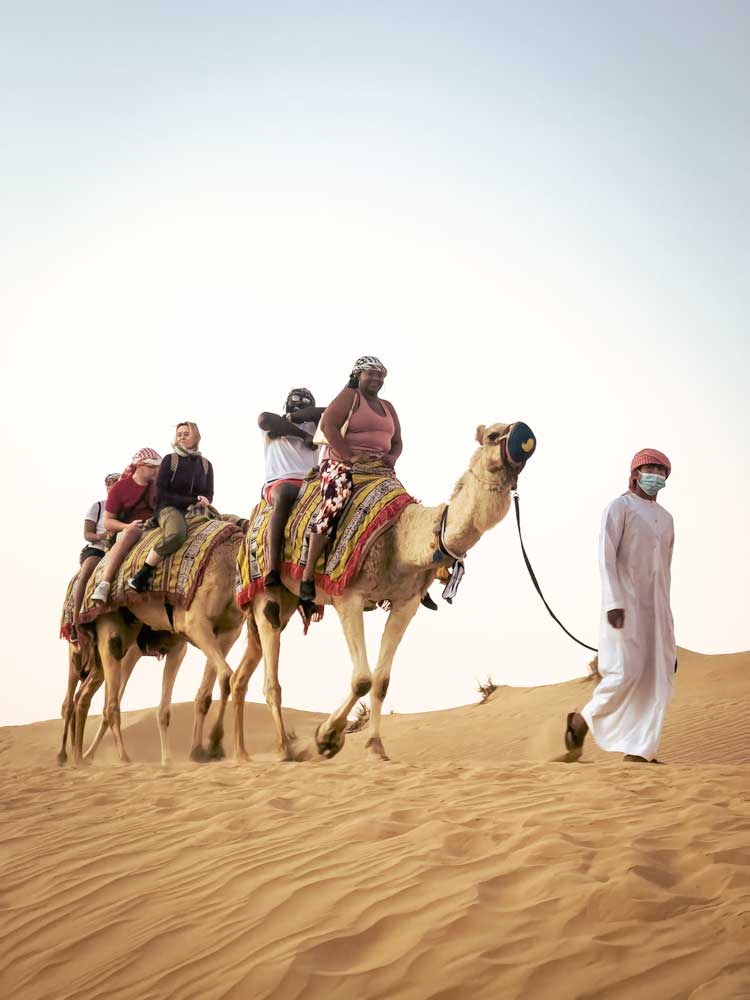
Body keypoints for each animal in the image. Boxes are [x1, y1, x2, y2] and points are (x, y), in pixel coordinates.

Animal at [234, 420, 536, 756]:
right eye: (494, 435)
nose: (525, 437)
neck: (402, 539)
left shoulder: (406, 602)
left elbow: (381, 681)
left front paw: (375, 746)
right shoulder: (348, 597)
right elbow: (362, 679)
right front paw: (327, 738)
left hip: (286, 601)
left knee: (244, 670)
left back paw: (241, 752)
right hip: (264, 594)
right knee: (270, 679)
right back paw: (286, 750)